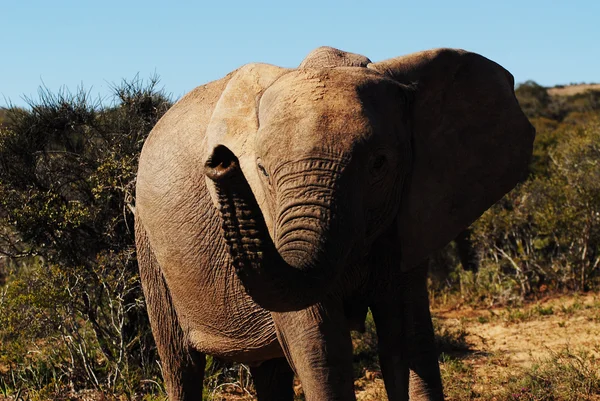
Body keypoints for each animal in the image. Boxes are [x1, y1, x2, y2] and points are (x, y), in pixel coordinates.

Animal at [135, 45, 536, 398]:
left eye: (379, 164)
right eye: (261, 169)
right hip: (148, 245)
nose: (220, 160)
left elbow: (408, 339)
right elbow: (322, 352)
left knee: (269, 370)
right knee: (181, 365)